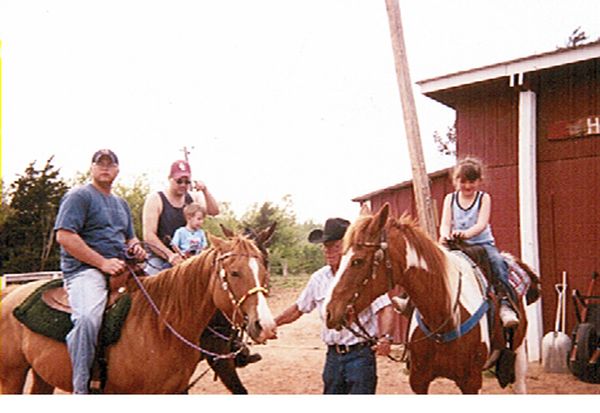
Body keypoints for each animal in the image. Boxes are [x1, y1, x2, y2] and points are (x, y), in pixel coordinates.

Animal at [0, 230, 276, 394]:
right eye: (234, 272)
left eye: (264, 268)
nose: (265, 326)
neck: (161, 326)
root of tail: (11, 294)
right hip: (12, 376)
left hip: (41, 375)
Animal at [326, 204, 540, 394]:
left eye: (358, 261)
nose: (329, 312)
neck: (444, 315)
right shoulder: (419, 380)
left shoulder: (471, 382)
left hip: (519, 353)